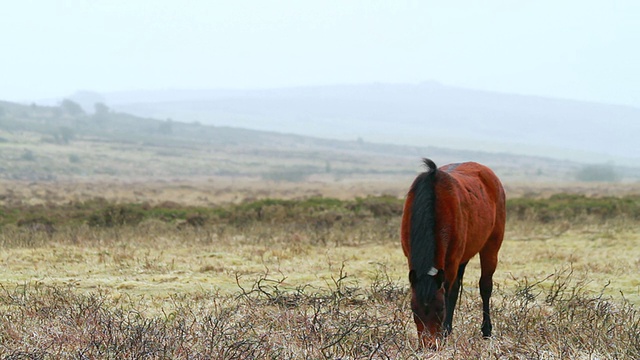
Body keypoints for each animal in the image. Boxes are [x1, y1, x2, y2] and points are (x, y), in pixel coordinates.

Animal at [404, 158, 504, 348]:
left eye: (440, 308)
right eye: (414, 309)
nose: (429, 345)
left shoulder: (451, 261)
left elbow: (450, 293)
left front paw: (445, 331)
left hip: (491, 246)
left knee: (485, 286)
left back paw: (486, 330)